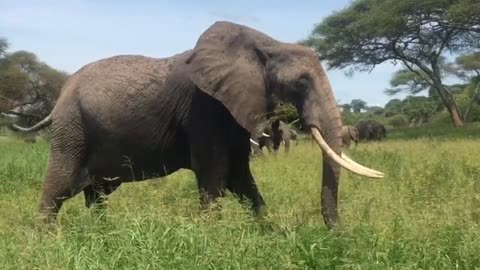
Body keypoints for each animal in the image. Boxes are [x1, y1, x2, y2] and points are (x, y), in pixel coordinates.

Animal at [11, 21, 384, 229]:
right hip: (72, 128)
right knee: (58, 186)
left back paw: (104, 233)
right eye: (302, 83)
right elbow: (215, 174)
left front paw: (266, 231)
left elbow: (240, 178)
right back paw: (47, 241)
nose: (340, 234)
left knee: (96, 194)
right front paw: (212, 238)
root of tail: (59, 96)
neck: (265, 45)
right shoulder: (204, 109)